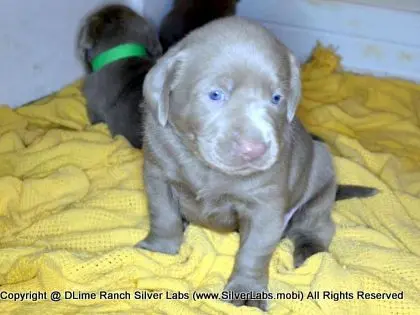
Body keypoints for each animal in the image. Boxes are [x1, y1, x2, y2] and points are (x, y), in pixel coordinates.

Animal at [137, 16, 378, 312]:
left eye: (276, 98)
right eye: (215, 94)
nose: (255, 149)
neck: (204, 167)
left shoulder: (265, 206)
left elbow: (254, 251)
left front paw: (246, 291)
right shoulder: (157, 175)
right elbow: (163, 215)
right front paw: (160, 250)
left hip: (322, 178)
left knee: (317, 227)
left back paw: (311, 254)